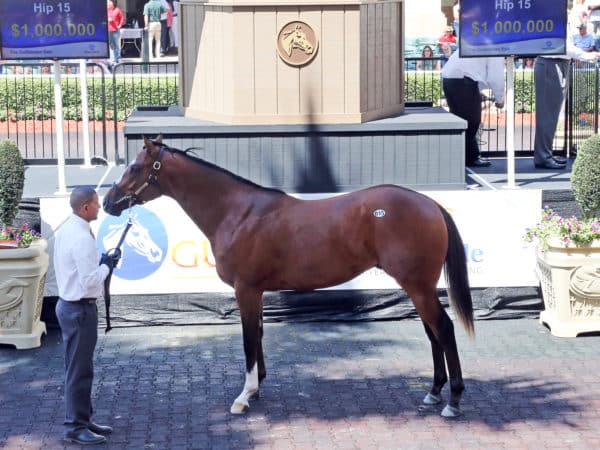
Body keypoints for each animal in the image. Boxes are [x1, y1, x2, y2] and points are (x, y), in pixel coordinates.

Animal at [105, 136, 476, 418]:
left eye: (134, 167)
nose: (108, 202)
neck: (236, 213)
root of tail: (430, 204)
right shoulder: (256, 291)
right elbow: (258, 334)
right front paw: (256, 390)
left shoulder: (246, 290)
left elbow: (248, 340)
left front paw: (244, 396)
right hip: (418, 287)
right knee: (432, 333)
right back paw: (433, 392)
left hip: (418, 286)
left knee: (444, 329)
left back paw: (454, 401)